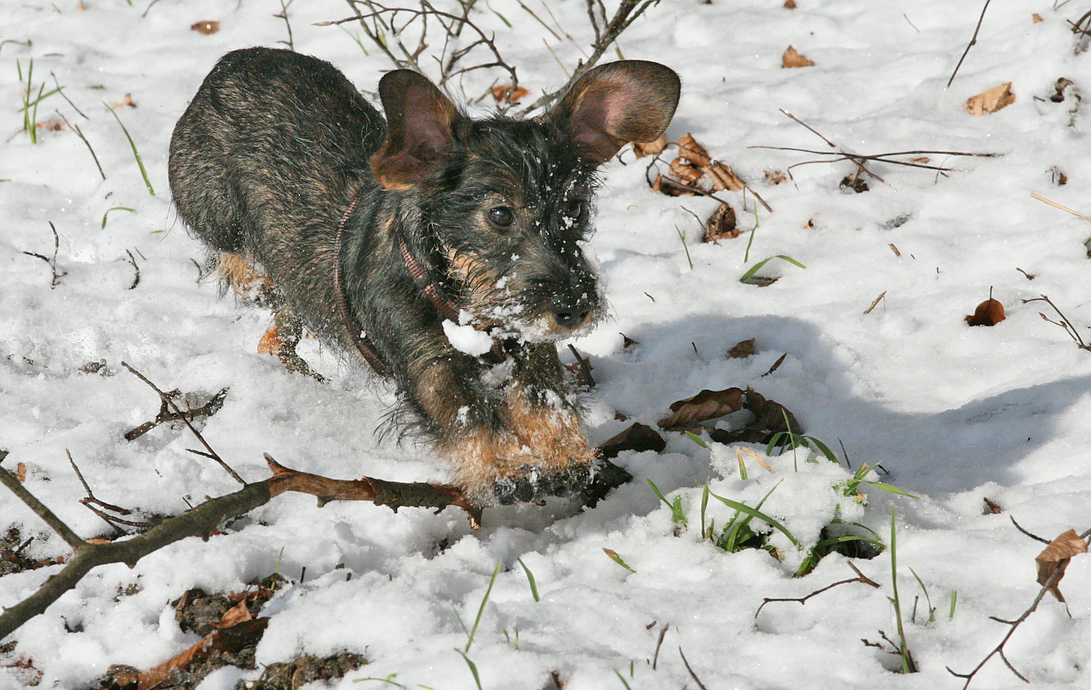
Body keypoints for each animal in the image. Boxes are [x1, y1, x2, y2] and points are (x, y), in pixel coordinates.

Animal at [168, 45, 680, 504]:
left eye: (575, 207)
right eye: (500, 214)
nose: (573, 310)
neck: (467, 306)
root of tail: (232, 61)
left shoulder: (531, 344)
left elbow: (546, 400)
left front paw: (568, 459)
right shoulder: (428, 362)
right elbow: (465, 412)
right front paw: (503, 471)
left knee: (276, 337)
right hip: (214, 212)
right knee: (236, 259)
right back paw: (252, 278)